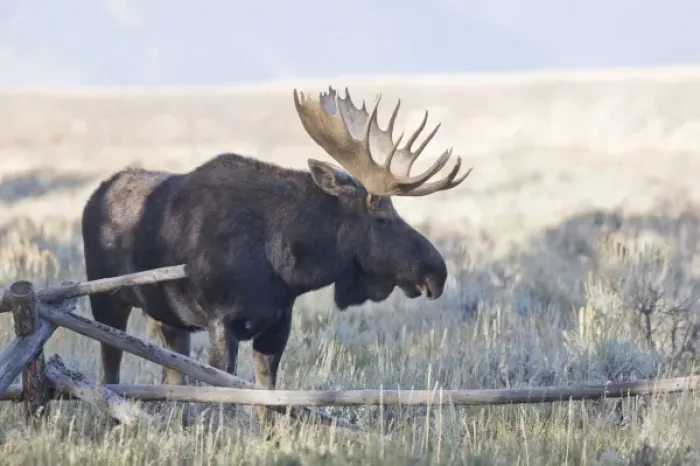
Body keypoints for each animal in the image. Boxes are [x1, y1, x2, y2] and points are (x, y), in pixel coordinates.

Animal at [80, 86, 472, 433]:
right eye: (382, 218)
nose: (436, 272)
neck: (286, 266)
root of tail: (94, 196)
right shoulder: (222, 321)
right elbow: (224, 397)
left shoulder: (276, 325)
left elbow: (267, 400)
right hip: (107, 300)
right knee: (110, 369)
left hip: (168, 320)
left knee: (171, 377)